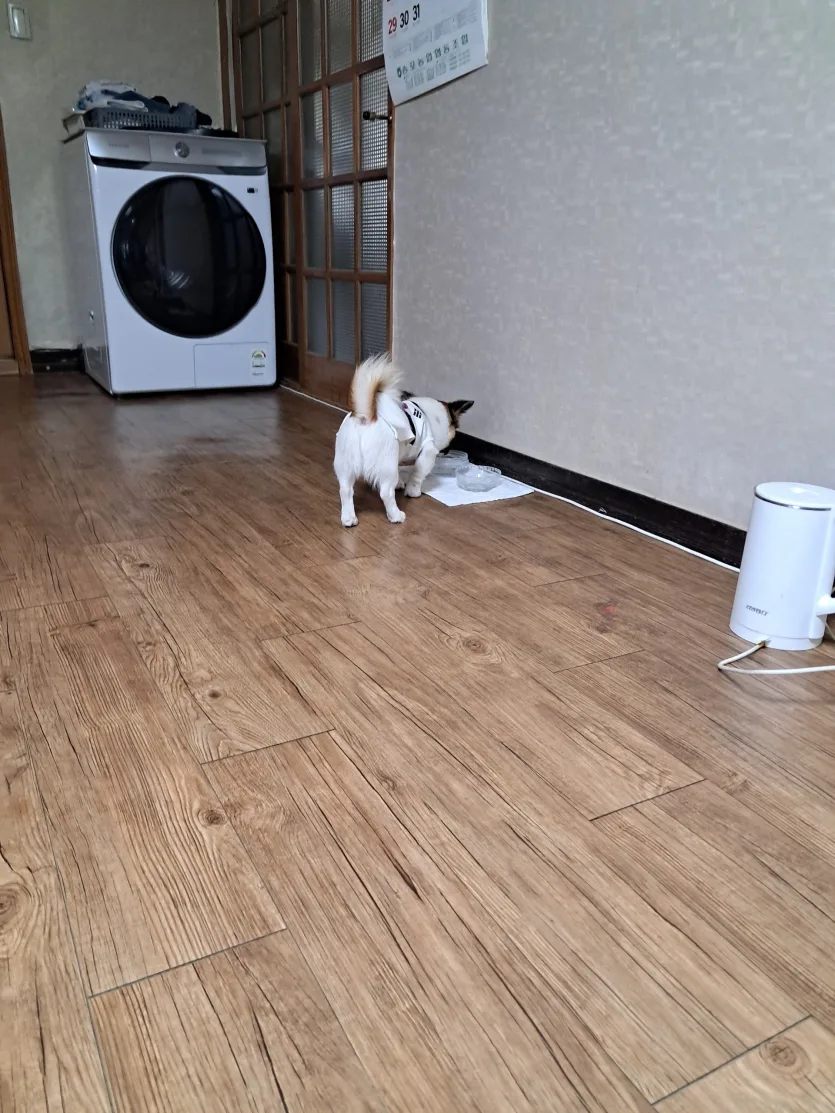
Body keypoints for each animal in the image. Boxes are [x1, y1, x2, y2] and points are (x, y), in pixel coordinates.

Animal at [334, 355, 473, 527]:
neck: (429, 416)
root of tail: (366, 416)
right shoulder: (428, 452)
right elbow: (417, 474)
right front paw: (413, 491)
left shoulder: (399, 453)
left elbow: (401, 469)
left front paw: (400, 483)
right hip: (386, 466)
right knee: (386, 493)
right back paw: (396, 516)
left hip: (345, 464)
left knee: (345, 490)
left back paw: (348, 519)